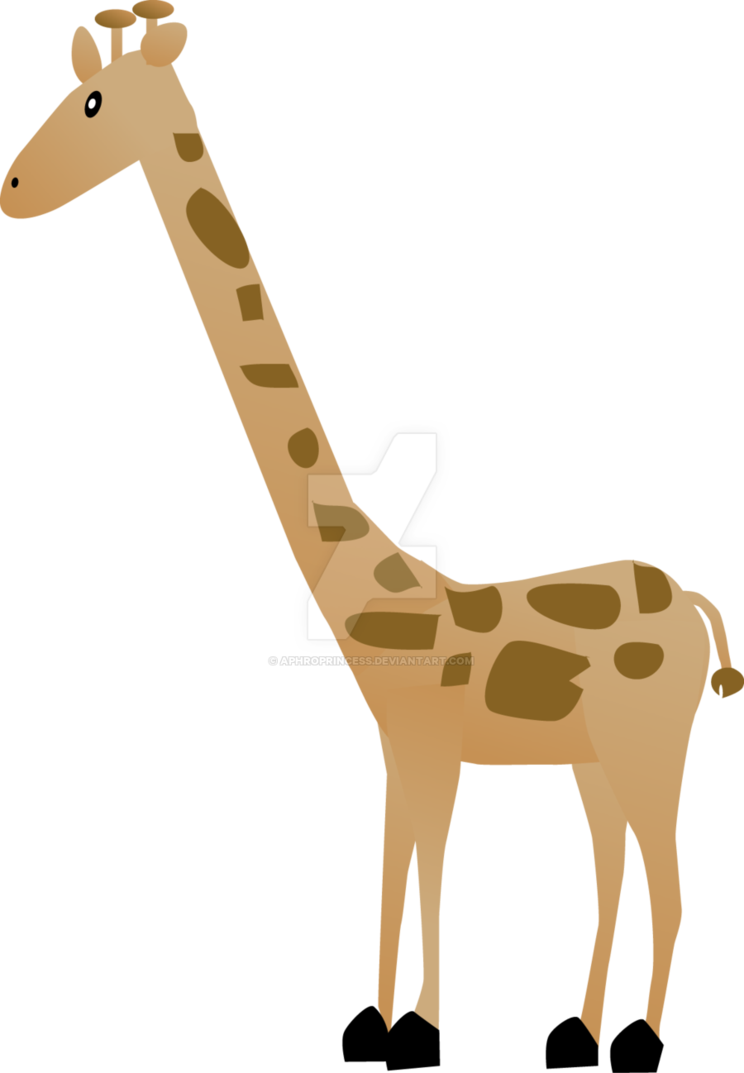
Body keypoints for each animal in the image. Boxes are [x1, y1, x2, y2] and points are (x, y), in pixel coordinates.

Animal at [1, 4, 741, 1050]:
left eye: (95, 101)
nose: (11, 189)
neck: (374, 568)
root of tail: (693, 601)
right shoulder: (394, 745)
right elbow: (395, 873)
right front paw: (393, 1014)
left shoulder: (433, 745)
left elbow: (429, 875)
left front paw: (425, 1019)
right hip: (594, 759)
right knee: (617, 873)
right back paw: (591, 1023)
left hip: (652, 746)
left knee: (671, 887)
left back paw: (643, 1030)